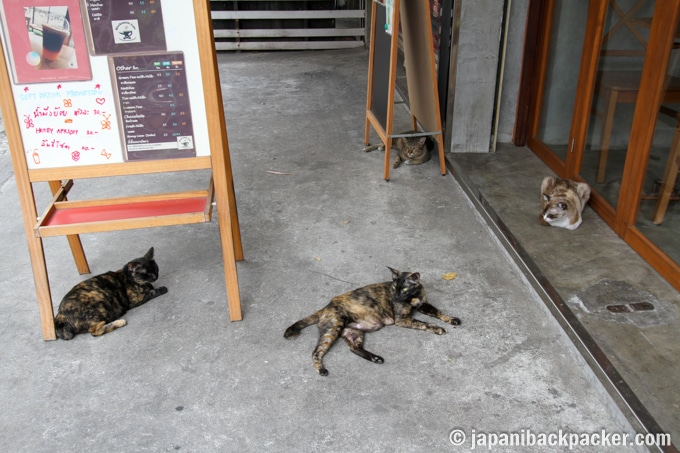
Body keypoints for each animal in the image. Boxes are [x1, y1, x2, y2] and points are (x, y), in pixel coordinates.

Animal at [284, 268, 460, 374]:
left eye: (403, 288)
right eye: (394, 288)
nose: (396, 296)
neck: (413, 297)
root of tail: (326, 306)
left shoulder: (424, 305)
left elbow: (439, 312)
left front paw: (452, 319)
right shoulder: (403, 319)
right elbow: (424, 323)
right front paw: (438, 328)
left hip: (354, 332)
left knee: (354, 348)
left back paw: (376, 358)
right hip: (333, 329)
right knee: (316, 351)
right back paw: (321, 369)